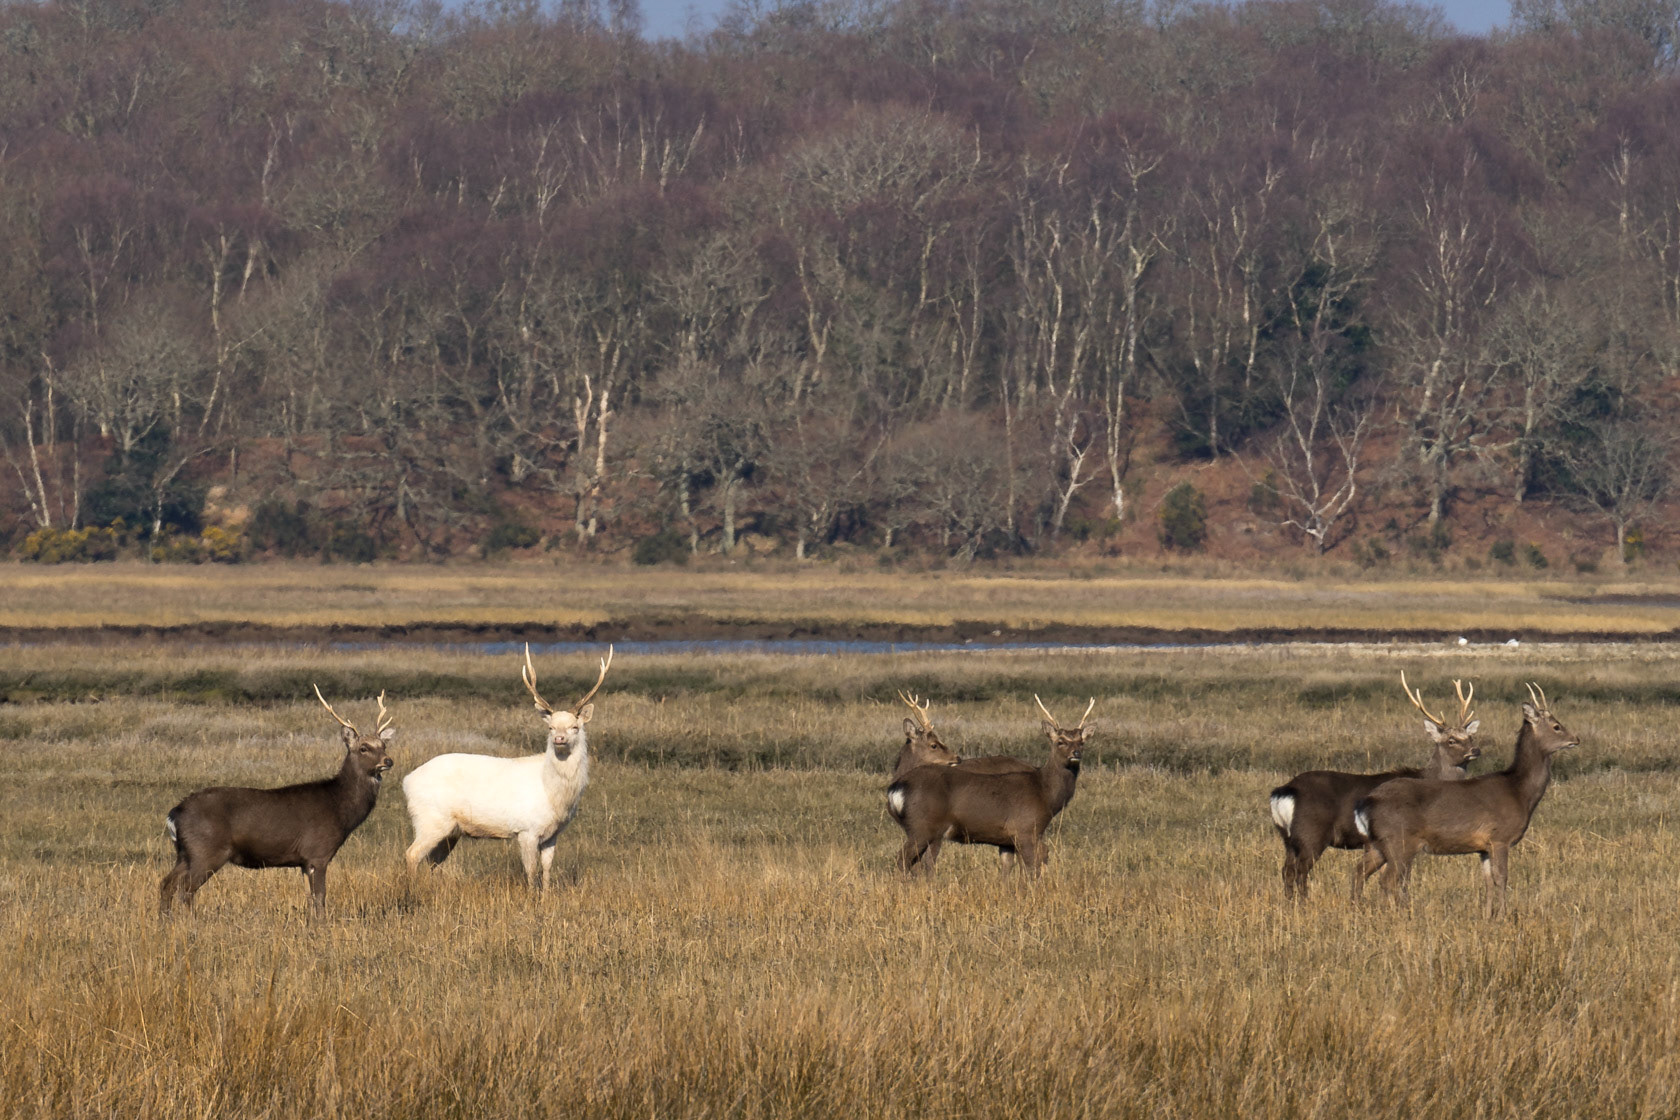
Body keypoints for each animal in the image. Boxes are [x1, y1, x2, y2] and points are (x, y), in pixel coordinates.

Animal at [159, 687, 395, 914]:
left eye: (383, 745)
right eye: (364, 748)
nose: (388, 761)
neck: (339, 808)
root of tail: (174, 813)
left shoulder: (303, 861)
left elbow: (309, 899)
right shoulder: (318, 852)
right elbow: (320, 897)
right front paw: (322, 925)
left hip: (184, 852)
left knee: (166, 883)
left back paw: (165, 921)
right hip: (206, 850)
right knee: (186, 889)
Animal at [402, 645, 611, 890]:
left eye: (575, 727)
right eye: (550, 727)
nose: (559, 738)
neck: (555, 796)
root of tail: (407, 780)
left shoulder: (553, 834)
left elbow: (547, 869)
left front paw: (546, 895)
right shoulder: (526, 829)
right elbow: (530, 871)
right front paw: (531, 895)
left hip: (450, 830)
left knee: (433, 861)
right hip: (430, 819)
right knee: (412, 854)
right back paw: (411, 890)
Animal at [886, 696, 1093, 875]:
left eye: (1082, 742)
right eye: (1060, 741)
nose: (1076, 753)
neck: (1044, 791)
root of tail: (896, 787)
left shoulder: (1008, 839)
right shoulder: (1026, 828)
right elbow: (1030, 870)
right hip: (925, 827)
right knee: (904, 860)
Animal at [1269, 672, 1481, 902]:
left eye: (1470, 736)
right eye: (1451, 740)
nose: (1475, 750)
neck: (1428, 778)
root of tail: (1284, 791)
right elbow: (1400, 881)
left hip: (1288, 838)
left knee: (1286, 870)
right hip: (1311, 833)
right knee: (1300, 871)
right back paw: (1304, 903)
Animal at [1353, 683, 1579, 918]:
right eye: (1556, 726)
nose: (1576, 739)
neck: (1519, 791)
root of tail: (1365, 803)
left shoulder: (1483, 847)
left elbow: (1488, 882)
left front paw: (1488, 916)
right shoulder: (1500, 837)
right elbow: (1502, 878)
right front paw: (1503, 915)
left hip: (1378, 844)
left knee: (1360, 871)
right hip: (1398, 840)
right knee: (1387, 879)